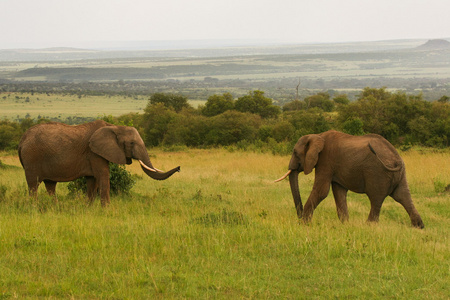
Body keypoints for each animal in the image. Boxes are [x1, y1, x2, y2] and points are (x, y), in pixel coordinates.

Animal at [18, 119, 179, 206]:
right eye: (132, 143)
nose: (179, 168)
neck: (114, 126)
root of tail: (22, 139)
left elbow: (92, 181)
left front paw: (88, 208)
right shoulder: (94, 152)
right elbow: (103, 176)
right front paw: (107, 210)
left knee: (50, 185)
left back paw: (55, 208)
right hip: (32, 158)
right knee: (33, 185)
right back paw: (34, 207)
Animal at [274, 130, 426, 229]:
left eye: (295, 152)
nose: (299, 217)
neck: (317, 136)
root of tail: (396, 158)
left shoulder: (325, 161)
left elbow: (322, 191)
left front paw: (303, 224)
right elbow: (339, 191)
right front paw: (345, 224)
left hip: (377, 173)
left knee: (376, 198)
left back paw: (369, 226)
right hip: (400, 174)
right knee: (403, 196)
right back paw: (419, 226)